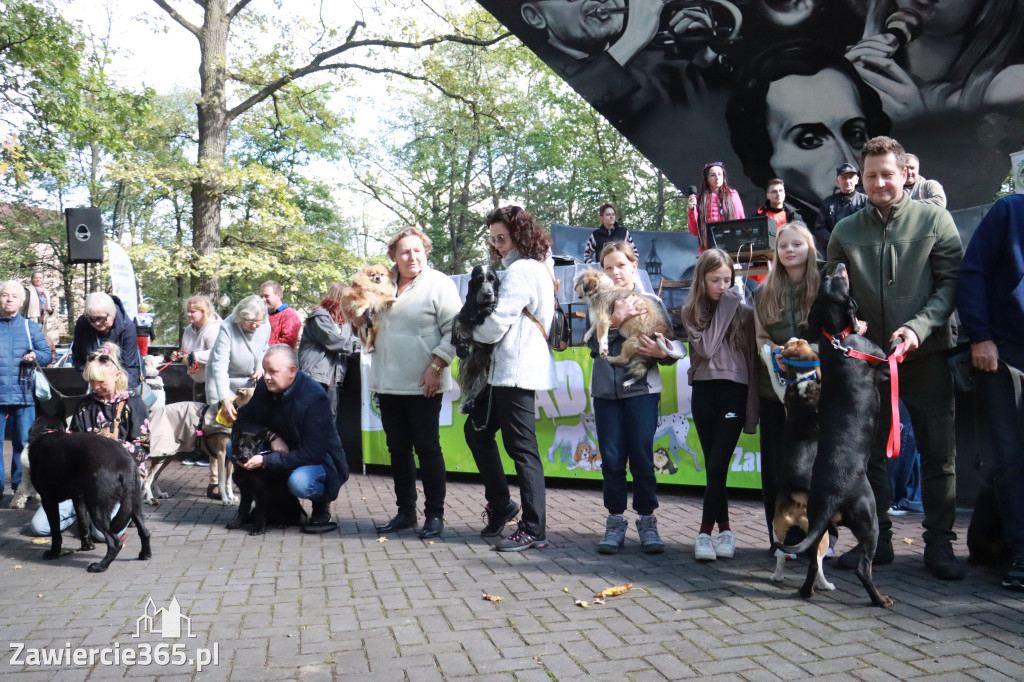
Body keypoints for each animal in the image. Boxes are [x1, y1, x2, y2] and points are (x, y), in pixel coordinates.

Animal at [27, 405, 151, 569]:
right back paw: (145, 555)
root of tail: (124, 462)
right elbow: (83, 522)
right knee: (144, 531)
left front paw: (54, 553)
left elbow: (55, 532)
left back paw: (100, 566)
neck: (46, 431)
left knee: (115, 542)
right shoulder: (78, 497)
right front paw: (87, 545)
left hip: (97, 507)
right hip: (133, 505)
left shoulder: (48, 501)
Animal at [454, 262, 501, 413]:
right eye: (479, 279)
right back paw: (467, 404)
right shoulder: (464, 314)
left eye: (492, 279)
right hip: (472, 363)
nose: (488, 294)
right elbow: (462, 326)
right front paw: (461, 348)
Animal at [778, 262, 892, 606]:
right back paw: (880, 599)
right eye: (838, 279)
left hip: (821, 528)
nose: (840, 264)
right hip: (869, 520)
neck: (837, 338)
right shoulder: (880, 361)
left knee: (812, 566)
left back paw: (807, 591)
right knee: (863, 568)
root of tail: (832, 495)